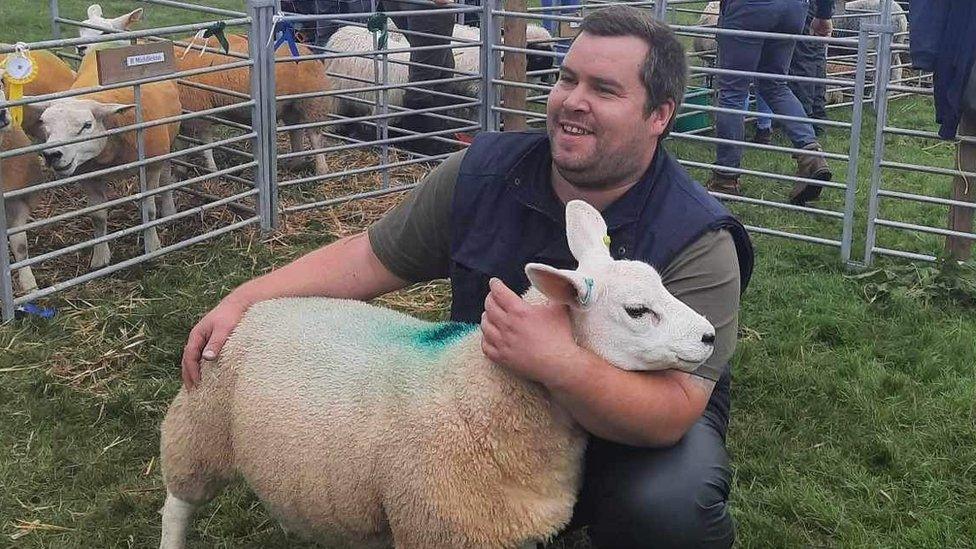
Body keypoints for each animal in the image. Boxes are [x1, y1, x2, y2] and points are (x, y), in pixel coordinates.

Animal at [27, 48, 181, 270]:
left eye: (87, 125)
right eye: (44, 124)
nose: (51, 155)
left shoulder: (151, 164)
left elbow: (150, 210)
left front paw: (153, 247)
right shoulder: (89, 176)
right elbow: (98, 217)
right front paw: (100, 257)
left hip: (168, 143)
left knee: (167, 178)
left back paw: (169, 210)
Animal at [158, 199, 716, 548]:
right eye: (638, 311)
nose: (711, 336)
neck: (480, 396)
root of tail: (248, 306)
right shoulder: (440, 526)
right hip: (200, 430)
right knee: (177, 504)